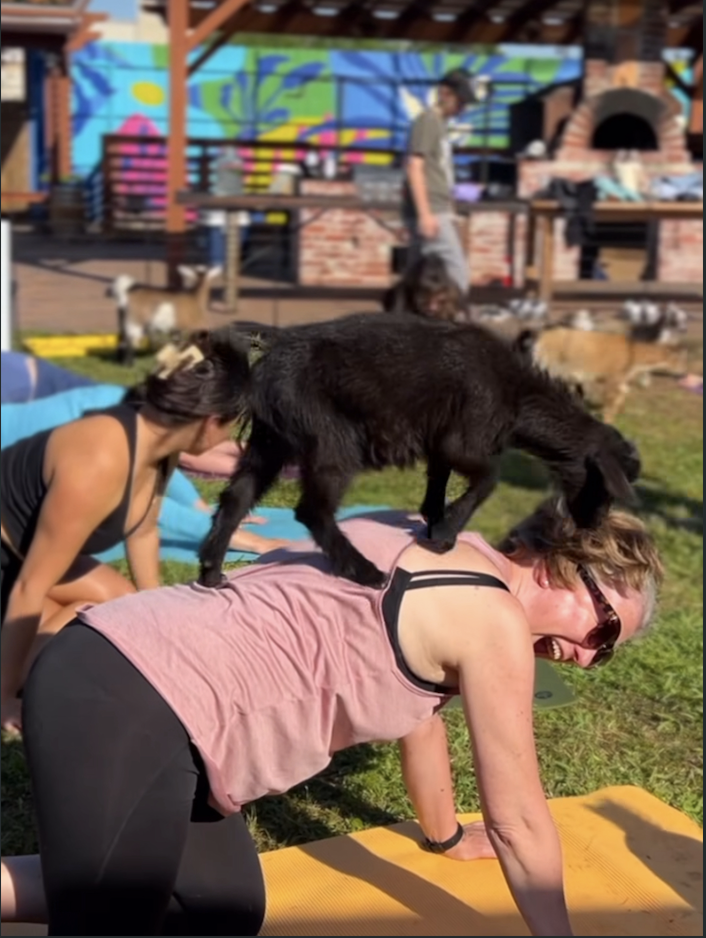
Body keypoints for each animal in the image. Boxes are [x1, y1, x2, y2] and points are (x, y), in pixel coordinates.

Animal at [198, 313, 641, 590]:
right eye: (606, 485)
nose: (592, 527)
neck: (518, 394)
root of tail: (269, 355)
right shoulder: (466, 438)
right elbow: (489, 478)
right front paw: (444, 536)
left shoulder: (441, 441)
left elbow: (439, 478)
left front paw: (434, 519)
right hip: (330, 440)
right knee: (312, 510)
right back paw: (365, 572)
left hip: (271, 440)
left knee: (236, 497)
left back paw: (211, 572)